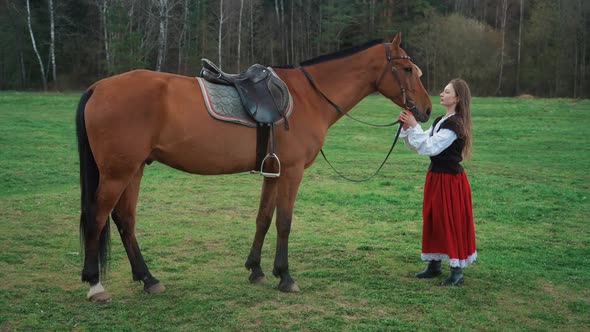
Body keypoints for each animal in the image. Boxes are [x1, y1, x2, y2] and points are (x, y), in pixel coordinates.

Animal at [76, 32, 432, 302]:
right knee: (97, 218)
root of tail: (98, 87)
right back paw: (95, 285)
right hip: (118, 173)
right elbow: (284, 222)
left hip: (134, 169)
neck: (308, 97)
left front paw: (257, 270)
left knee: (125, 220)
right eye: (406, 68)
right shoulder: (292, 172)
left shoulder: (272, 172)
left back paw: (148, 278)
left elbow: (263, 218)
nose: (427, 110)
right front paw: (285, 276)